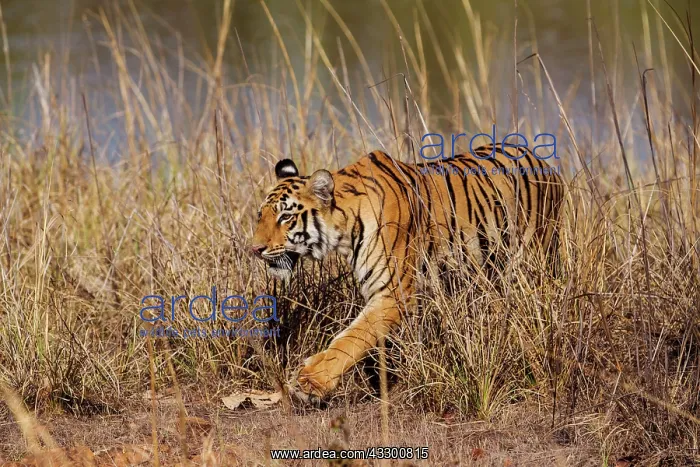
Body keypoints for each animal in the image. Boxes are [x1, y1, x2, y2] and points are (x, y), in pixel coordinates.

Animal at [251, 143, 565, 399]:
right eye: (260, 215)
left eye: (286, 217)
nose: (255, 249)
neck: (344, 228)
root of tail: (548, 165)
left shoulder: (393, 294)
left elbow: (354, 337)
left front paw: (310, 382)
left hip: (534, 258)